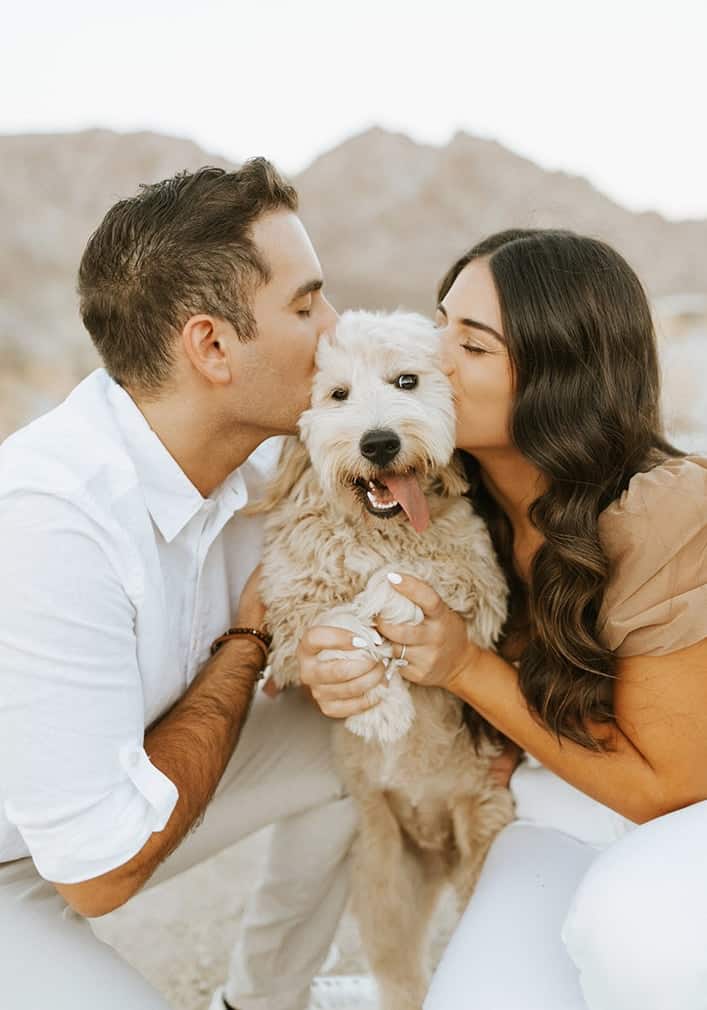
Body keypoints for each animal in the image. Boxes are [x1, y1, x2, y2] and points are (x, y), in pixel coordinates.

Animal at [256, 311, 517, 1005]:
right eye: (338, 394)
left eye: (407, 381)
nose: (378, 443)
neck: (382, 527)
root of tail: (435, 842)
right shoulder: (288, 607)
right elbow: (331, 620)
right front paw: (381, 711)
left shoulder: (481, 583)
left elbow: (403, 579)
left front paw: (389, 613)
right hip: (382, 885)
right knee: (402, 977)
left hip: (480, 841)